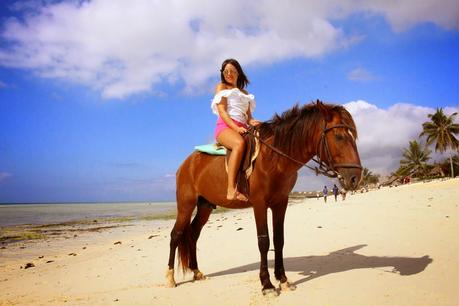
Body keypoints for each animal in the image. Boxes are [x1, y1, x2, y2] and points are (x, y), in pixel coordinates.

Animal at [165, 101, 362, 296]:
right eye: (339, 136)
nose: (355, 178)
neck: (274, 159)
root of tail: (186, 164)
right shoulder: (259, 204)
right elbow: (264, 241)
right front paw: (267, 284)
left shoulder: (280, 203)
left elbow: (279, 240)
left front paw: (282, 279)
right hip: (186, 204)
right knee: (176, 235)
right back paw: (170, 278)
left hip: (205, 206)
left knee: (193, 233)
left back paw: (196, 271)